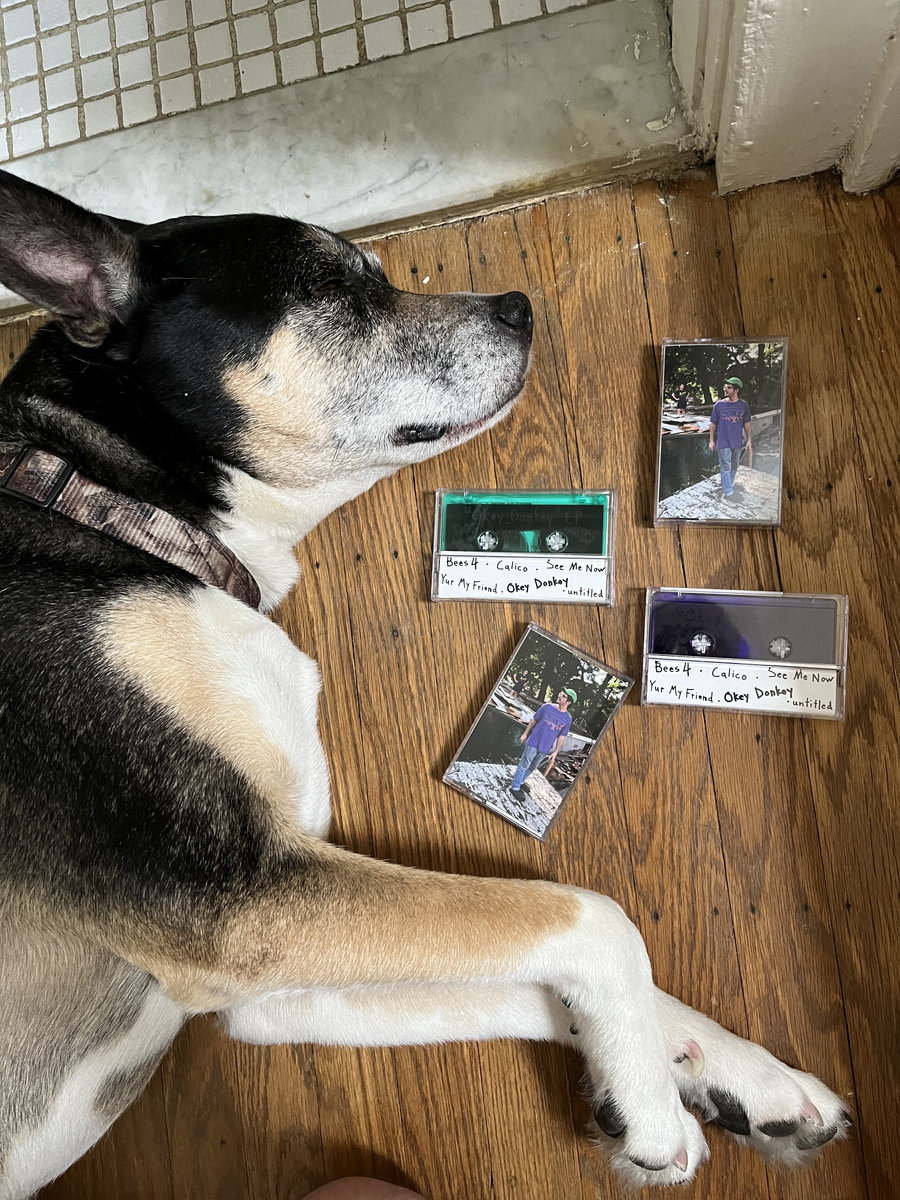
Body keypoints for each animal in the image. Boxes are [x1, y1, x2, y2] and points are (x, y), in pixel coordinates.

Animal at [0, 171, 851, 1199]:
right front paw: (650, 1107)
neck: (105, 503)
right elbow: (593, 917)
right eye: (337, 287)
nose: (520, 305)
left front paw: (727, 1075)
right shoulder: (234, 900)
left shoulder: (270, 981)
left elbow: (552, 978)